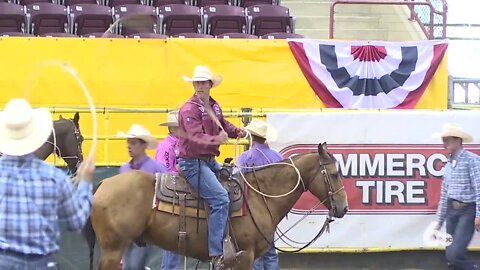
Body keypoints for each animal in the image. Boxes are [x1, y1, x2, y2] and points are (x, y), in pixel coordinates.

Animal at [84, 142, 346, 268]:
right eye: (334, 174)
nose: (343, 208)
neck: (260, 197)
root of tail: (103, 184)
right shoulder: (244, 257)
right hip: (113, 249)